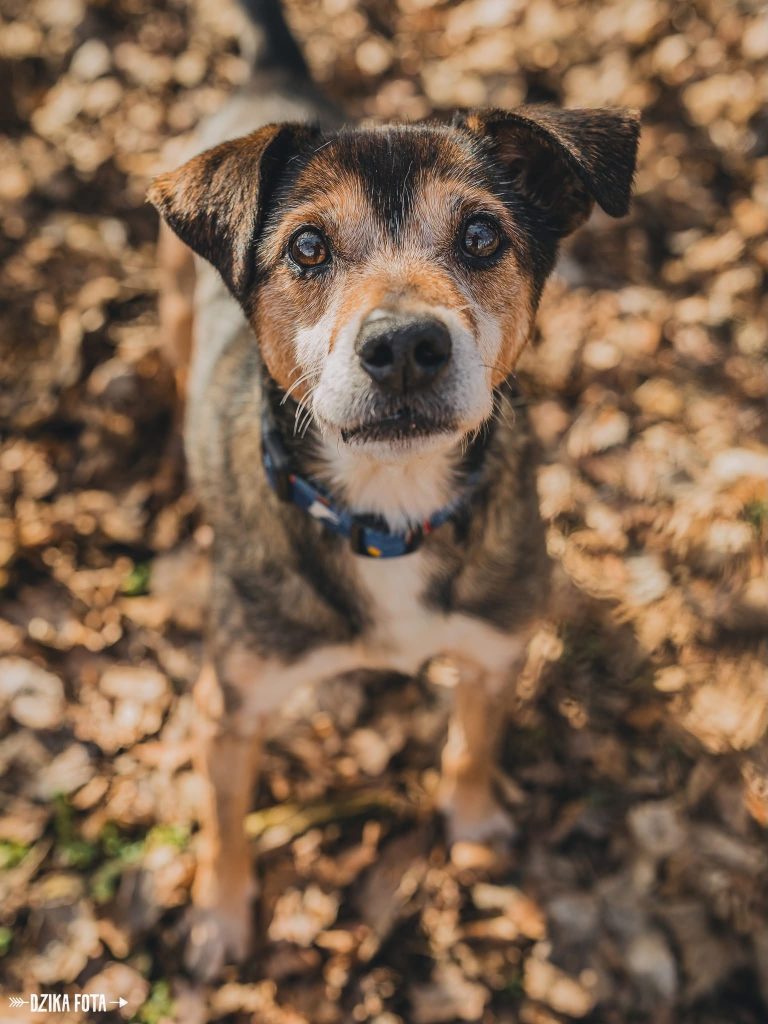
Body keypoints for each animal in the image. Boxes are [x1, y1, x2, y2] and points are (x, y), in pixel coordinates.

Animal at [149, 0, 640, 979]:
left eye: (483, 236)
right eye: (307, 247)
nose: (407, 344)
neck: (390, 508)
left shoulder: (495, 650)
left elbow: (473, 745)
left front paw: (475, 822)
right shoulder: (229, 706)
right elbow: (224, 821)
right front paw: (220, 915)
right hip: (175, 305)